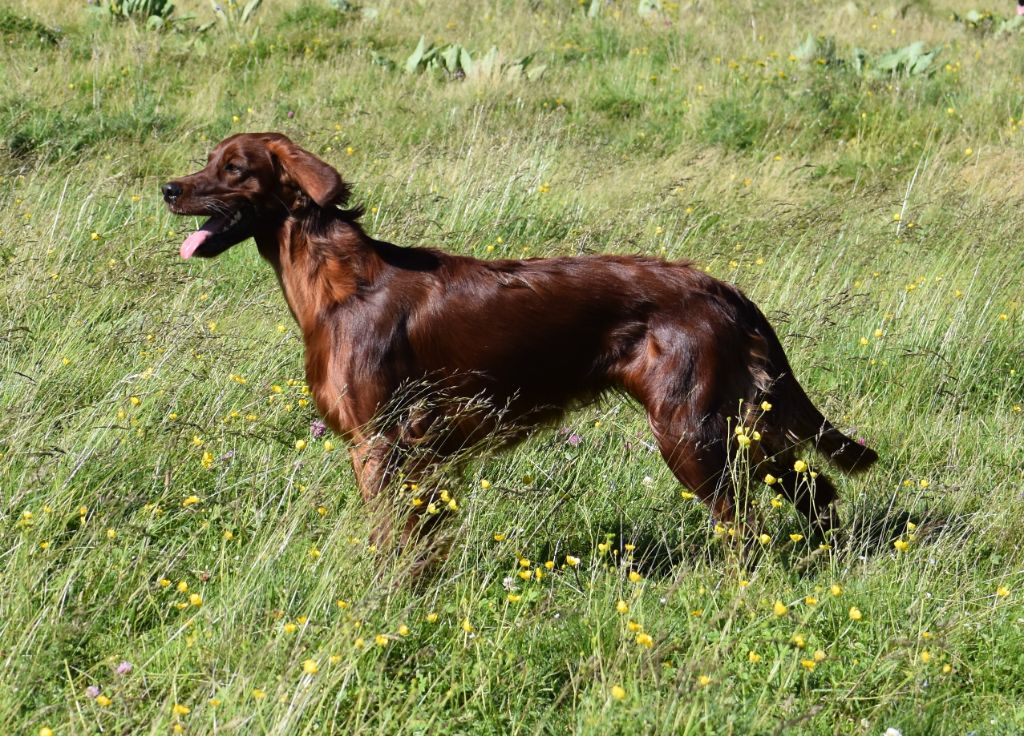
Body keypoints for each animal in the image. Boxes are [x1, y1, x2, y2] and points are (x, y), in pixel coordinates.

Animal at [163, 132, 878, 549]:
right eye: (207, 161)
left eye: (234, 168)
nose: (167, 188)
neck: (338, 282)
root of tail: (719, 287)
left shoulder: (384, 444)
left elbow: (396, 544)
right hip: (735, 422)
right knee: (813, 487)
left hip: (690, 429)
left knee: (745, 522)